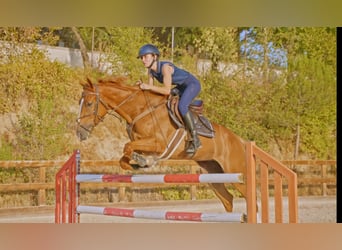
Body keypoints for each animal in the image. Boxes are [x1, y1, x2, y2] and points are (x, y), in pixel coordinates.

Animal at [75, 76, 246, 213]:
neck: (140, 110)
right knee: (228, 199)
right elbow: (125, 155)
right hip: (212, 173)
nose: (80, 132)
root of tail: (240, 141)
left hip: (235, 172)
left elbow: (127, 146)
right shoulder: (142, 143)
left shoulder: (160, 145)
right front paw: (138, 163)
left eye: (89, 103)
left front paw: (141, 162)